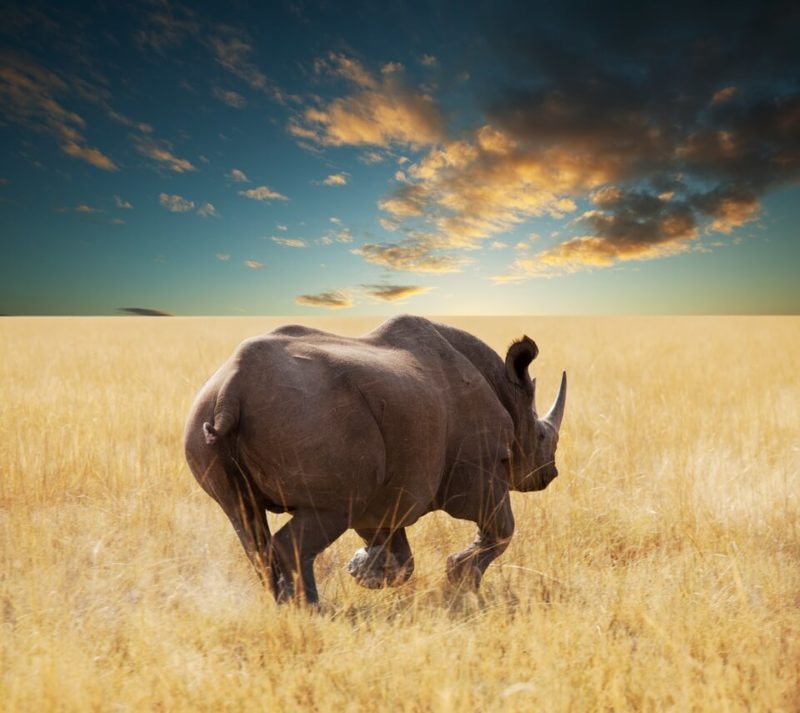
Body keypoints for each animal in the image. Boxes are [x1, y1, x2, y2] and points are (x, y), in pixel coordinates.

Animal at [184, 315, 566, 604]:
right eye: (542, 438)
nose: (550, 474)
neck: (509, 396)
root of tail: (231, 389)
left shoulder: (388, 492)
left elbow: (398, 551)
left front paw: (363, 570)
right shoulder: (479, 470)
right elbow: (502, 529)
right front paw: (459, 579)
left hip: (212, 414)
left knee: (244, 519)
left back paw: (286, 604)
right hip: (311, 417)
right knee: (324, 514)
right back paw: (310, 609)